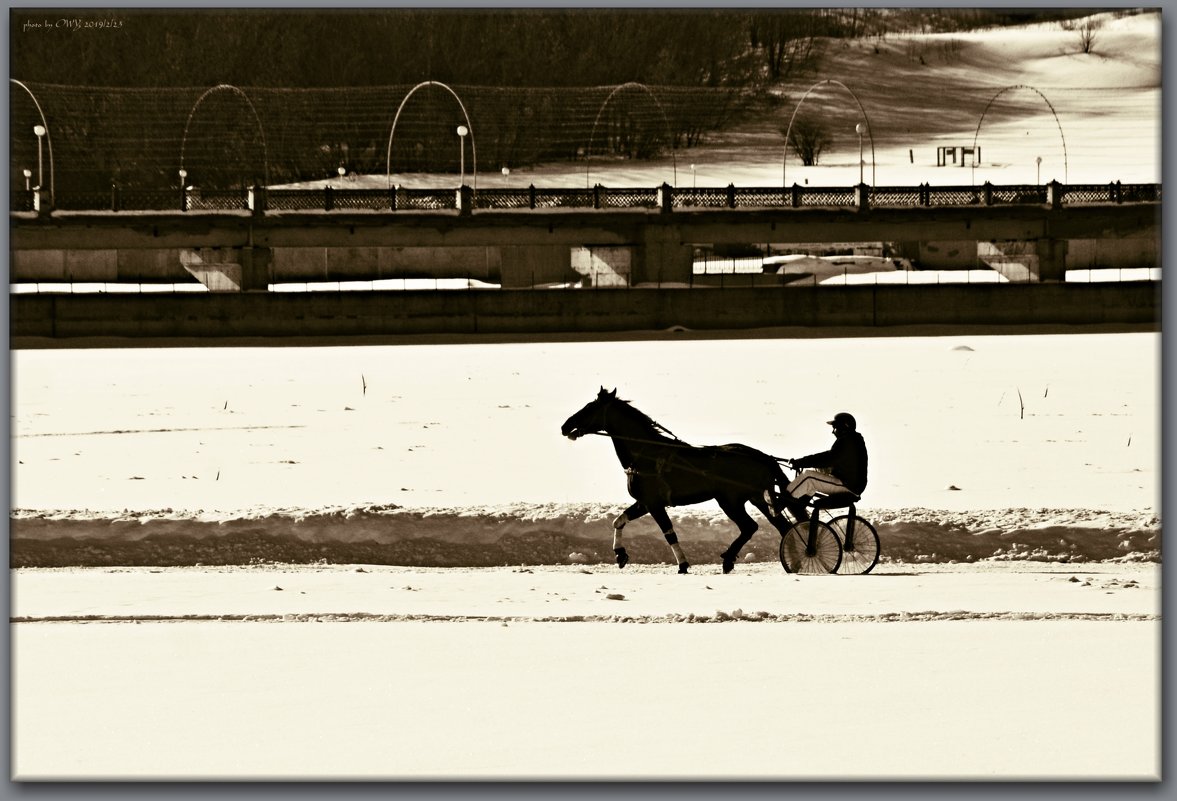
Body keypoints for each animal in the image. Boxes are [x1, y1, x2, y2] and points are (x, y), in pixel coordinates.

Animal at [557, 388, 790, 571]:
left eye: (589, 408)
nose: (565, 426)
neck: (645, 454)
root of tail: (763, 456)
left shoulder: (654, 504)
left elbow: (669, 533)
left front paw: (683, 565)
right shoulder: (644, 502)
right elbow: (619, 520)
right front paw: (620, 554)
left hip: (730, 500)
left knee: (750, 526)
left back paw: (729, 558)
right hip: (758, 498)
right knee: (780, 526)